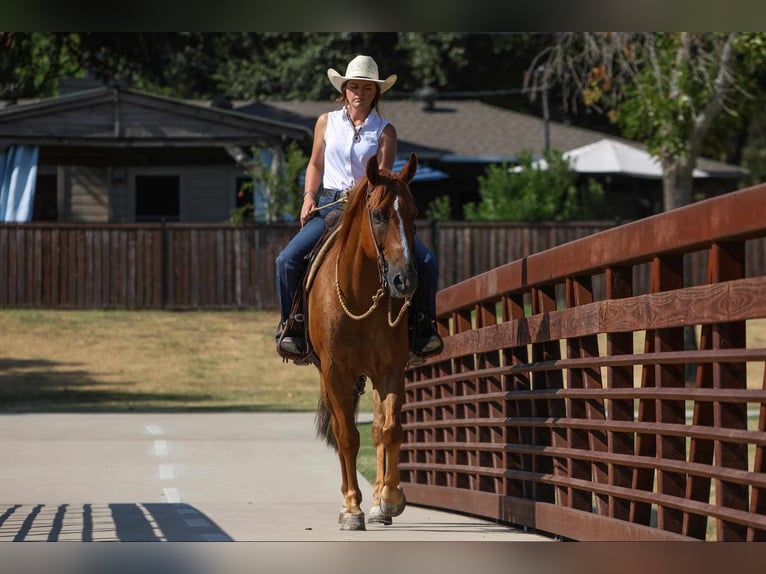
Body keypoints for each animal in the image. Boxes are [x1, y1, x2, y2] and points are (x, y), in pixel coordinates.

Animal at [306, 152, 420, 532]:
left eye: (414, 213)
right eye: (379, 214)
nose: (405, 280)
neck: (359, 295)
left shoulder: (391, 370)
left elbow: (390, 431)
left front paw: (390, 498)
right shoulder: (335, 374)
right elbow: (347, 438)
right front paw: (351, 509)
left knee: (379, 432)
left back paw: (379, 505)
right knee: (343, 433)